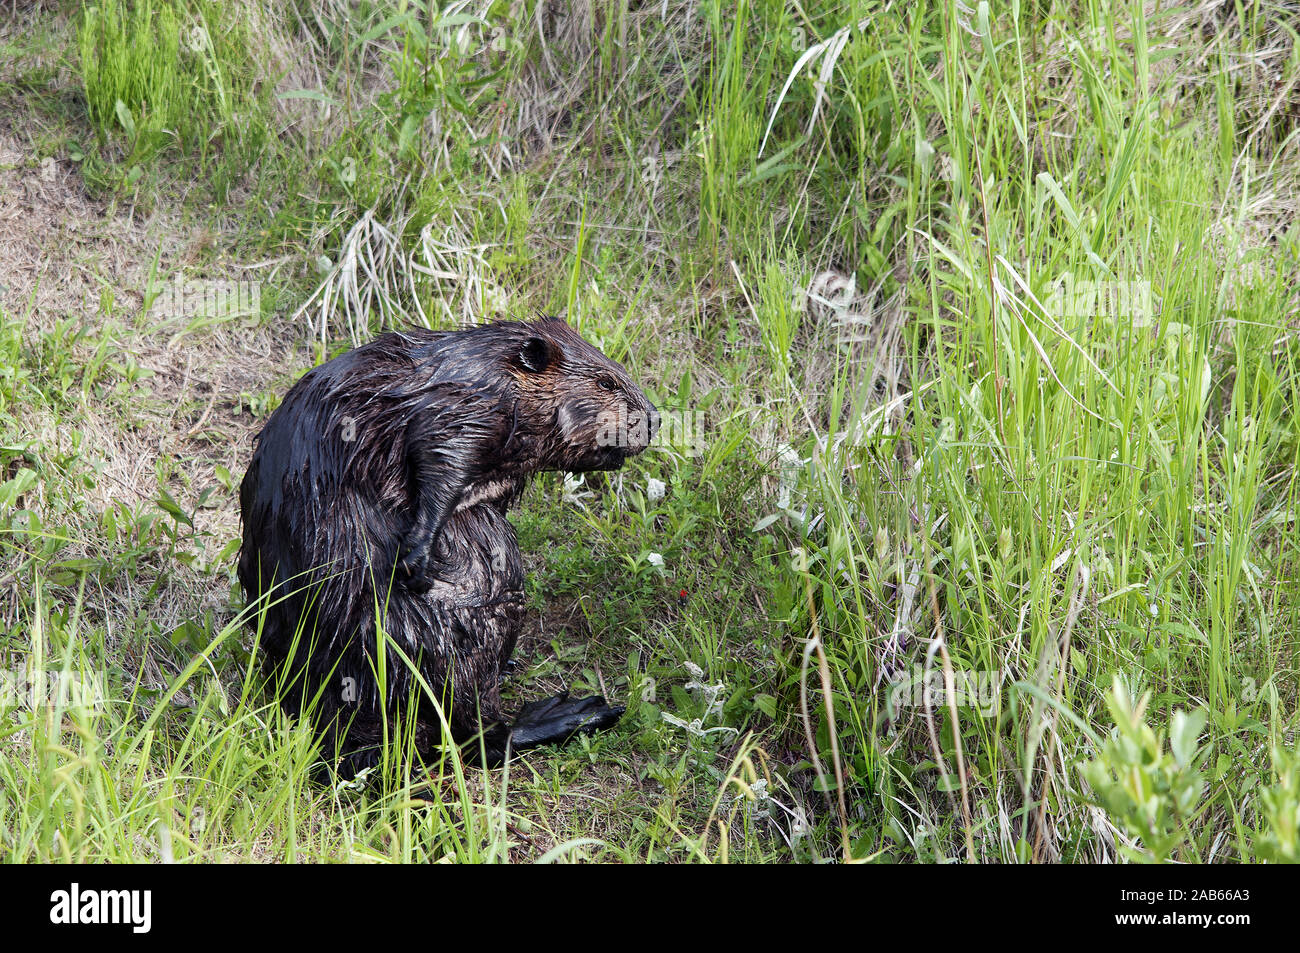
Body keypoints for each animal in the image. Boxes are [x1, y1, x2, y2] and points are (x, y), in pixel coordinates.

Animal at [237, 314, 655, 774]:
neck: (489, 359)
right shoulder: (464, 402)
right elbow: (440, 454)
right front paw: (417, 556)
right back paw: (571, 712)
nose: (652, 420)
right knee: (475, 736)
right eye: (605, 382)